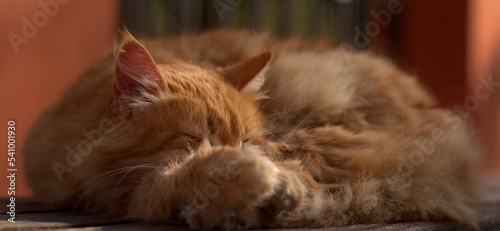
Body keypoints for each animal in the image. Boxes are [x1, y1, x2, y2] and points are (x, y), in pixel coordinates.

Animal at [22, 29, 476, 229]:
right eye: (195, 138)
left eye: (246, 140)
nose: (241, 151)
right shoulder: (136, 193)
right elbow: (186, 176)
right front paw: (238, 182)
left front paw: (258, 183)